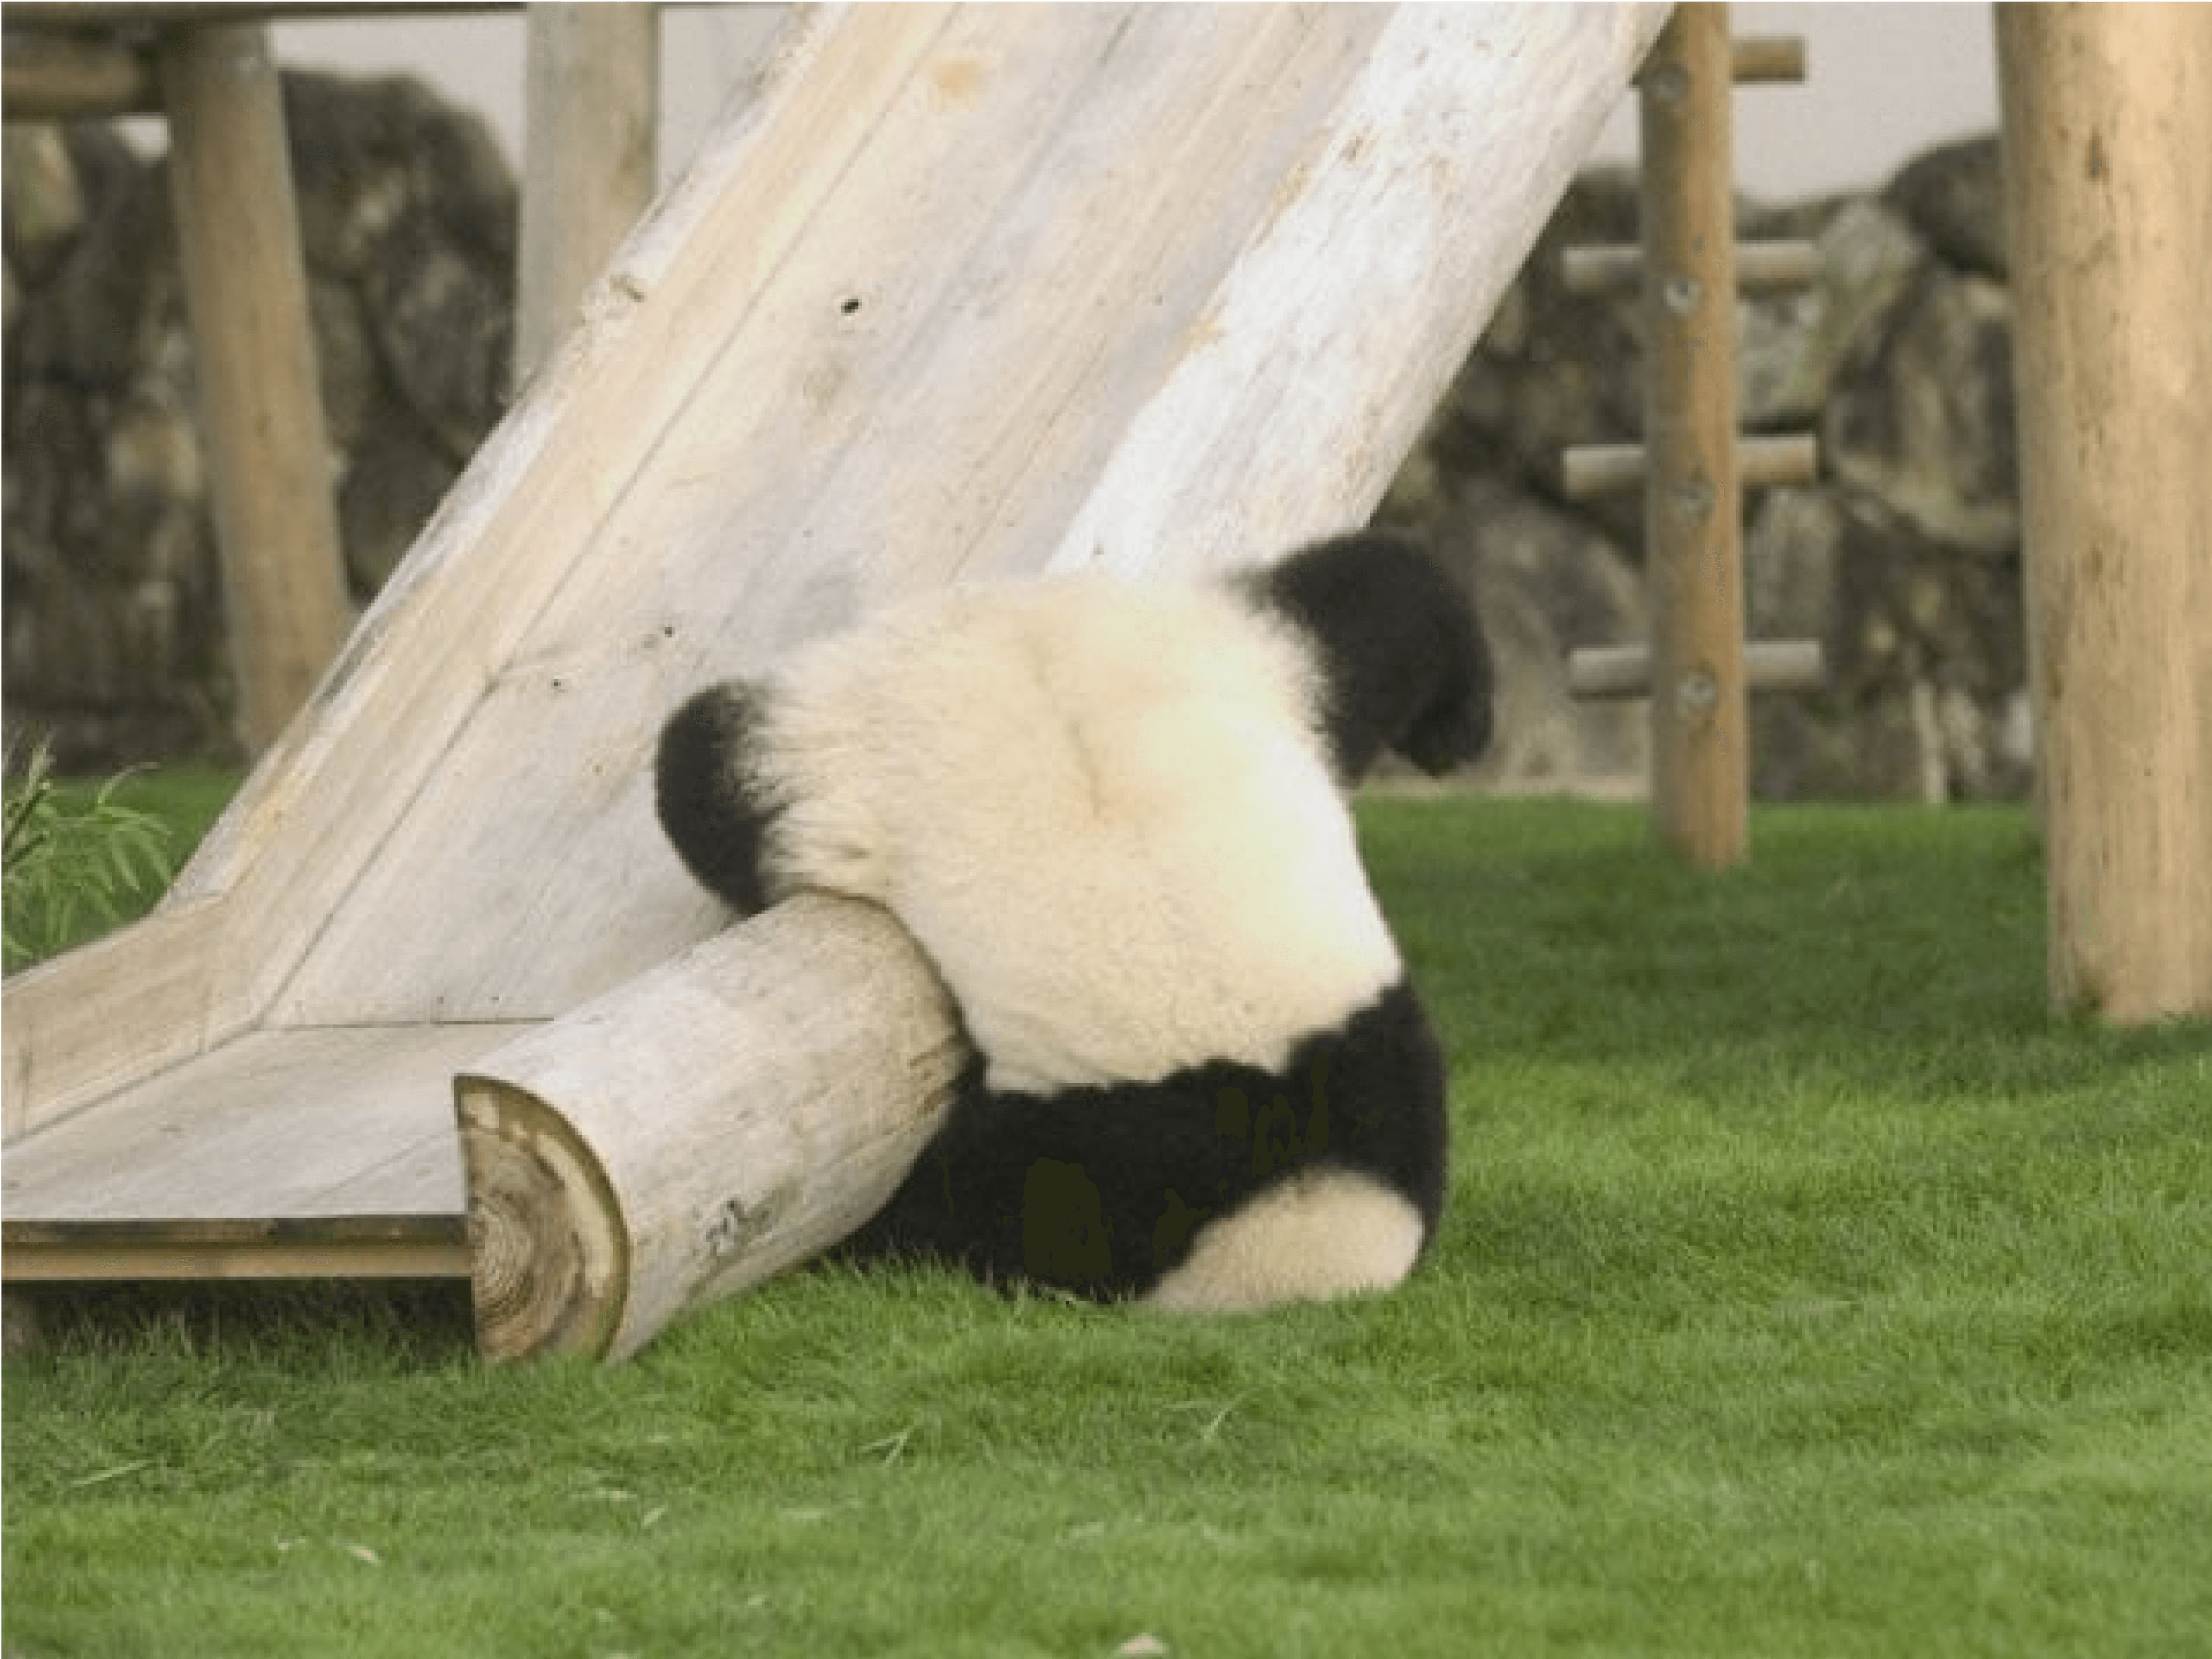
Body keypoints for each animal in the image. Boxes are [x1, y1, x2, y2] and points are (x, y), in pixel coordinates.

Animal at [654, 529, 1493, 1311]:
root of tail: (993, 617)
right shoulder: (1109, 1152)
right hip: (852, 754)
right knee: (711, 776)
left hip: (1221, 657)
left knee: (1368, 607)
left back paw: (1454, 731)